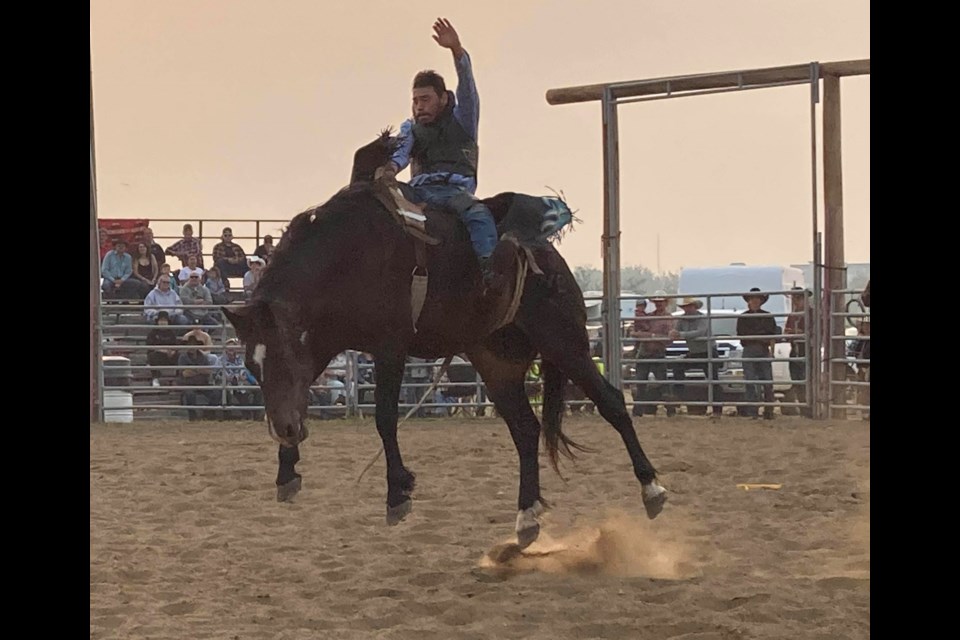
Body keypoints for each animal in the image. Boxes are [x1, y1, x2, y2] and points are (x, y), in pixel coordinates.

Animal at [223, 131, 668, 552]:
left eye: (285, 353)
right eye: (250, 365)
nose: (284, 432)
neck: (346, 255)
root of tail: (549, 260)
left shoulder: (390, 346)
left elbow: (384, 417)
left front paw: (398, 492)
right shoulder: (326, 343)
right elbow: (294, 403)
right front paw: (287, 469)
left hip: (565, 339)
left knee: (611, 401)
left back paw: (652, 488)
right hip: (497, 362)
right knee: (526, 430)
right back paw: (526, 517)